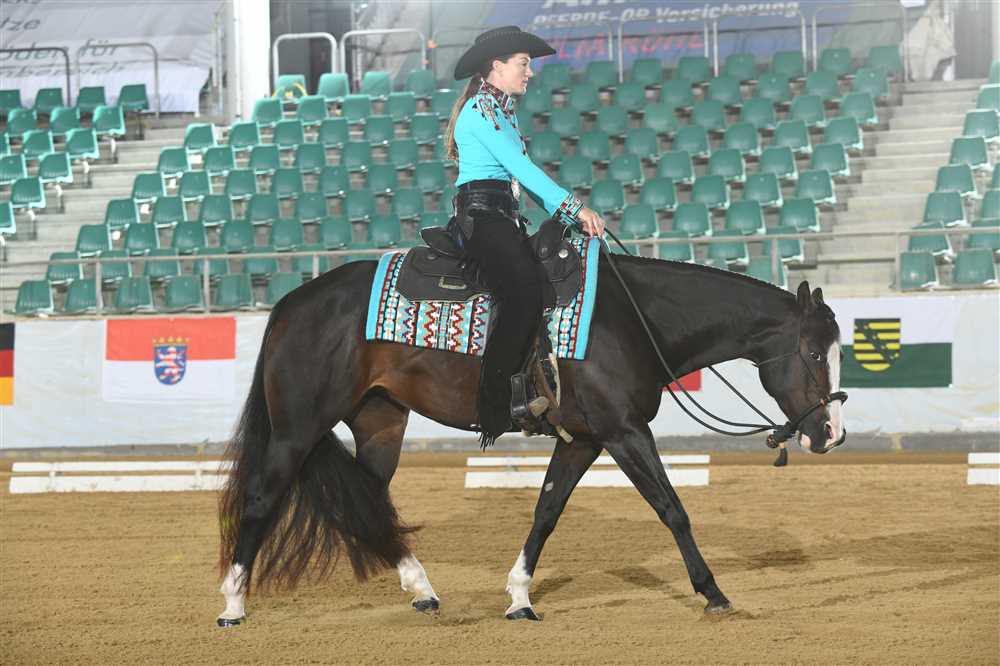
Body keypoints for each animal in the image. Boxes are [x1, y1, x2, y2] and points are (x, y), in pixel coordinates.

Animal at [215, 251, 847, 626]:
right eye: (816, 354)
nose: (832, 434)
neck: (631, 318)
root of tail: (291, 303)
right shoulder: (624, 432)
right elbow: (672, 508)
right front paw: (713, 592)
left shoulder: (583, 439)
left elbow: (547, 511)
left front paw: (520, 595)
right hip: (296, 429)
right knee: (263, 499)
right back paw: (233, 603)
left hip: (380, 424)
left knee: (367, 504)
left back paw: (421, 588)